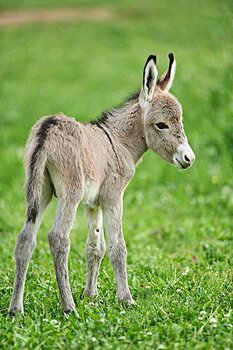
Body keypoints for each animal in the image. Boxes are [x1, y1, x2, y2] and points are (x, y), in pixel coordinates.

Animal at [9, 53, 195, 316]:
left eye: (180, 120)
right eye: (162, 125)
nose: (189, 158)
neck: (118, 141)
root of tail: (47, 130)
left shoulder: (92, 204)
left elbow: (95, 248)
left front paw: (90, 295)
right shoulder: (113, 197)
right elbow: (118, 247)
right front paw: (126, 299)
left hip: (39, 191)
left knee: (26, 239)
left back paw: (16, 310)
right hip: (70, 194)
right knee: (58, 238)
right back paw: (68, 307)